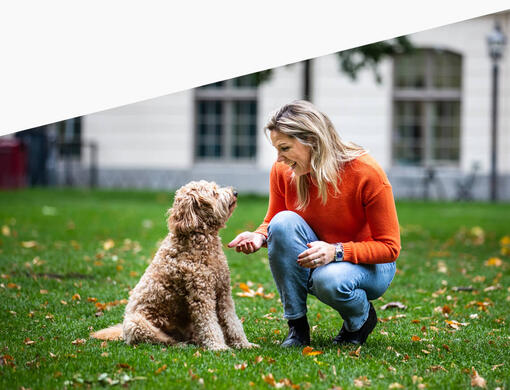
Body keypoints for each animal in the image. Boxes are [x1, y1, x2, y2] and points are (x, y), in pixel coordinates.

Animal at [91, 180, 255, 350]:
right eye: (214, 193)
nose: (235, 192)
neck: (200, 240)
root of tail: (122, 333)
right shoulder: (201, 295)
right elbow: (209, 324)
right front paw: (218, 347)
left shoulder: (223, 293)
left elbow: (232, 321)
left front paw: (244, 344)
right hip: (137, 324)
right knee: (163, 340)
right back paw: (181, 344)